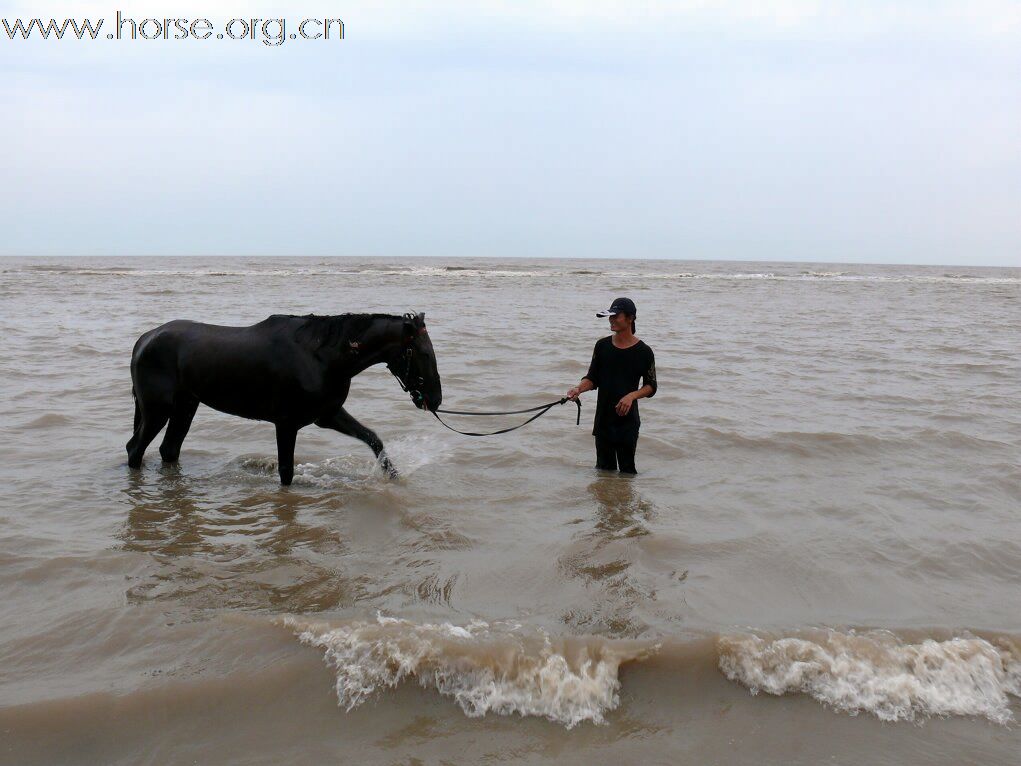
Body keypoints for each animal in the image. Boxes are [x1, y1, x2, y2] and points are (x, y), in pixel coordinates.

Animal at [125, 312, 441, 486]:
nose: (435, 399)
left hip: (185, 407)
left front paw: (394, 478)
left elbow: (373, 439)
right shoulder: (287, 424)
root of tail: (146, 338)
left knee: (168, 450)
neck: (320, 356)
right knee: (135, 449)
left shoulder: (328, 415)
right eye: (424, 354)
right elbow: (286, 472)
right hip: (157, 410)